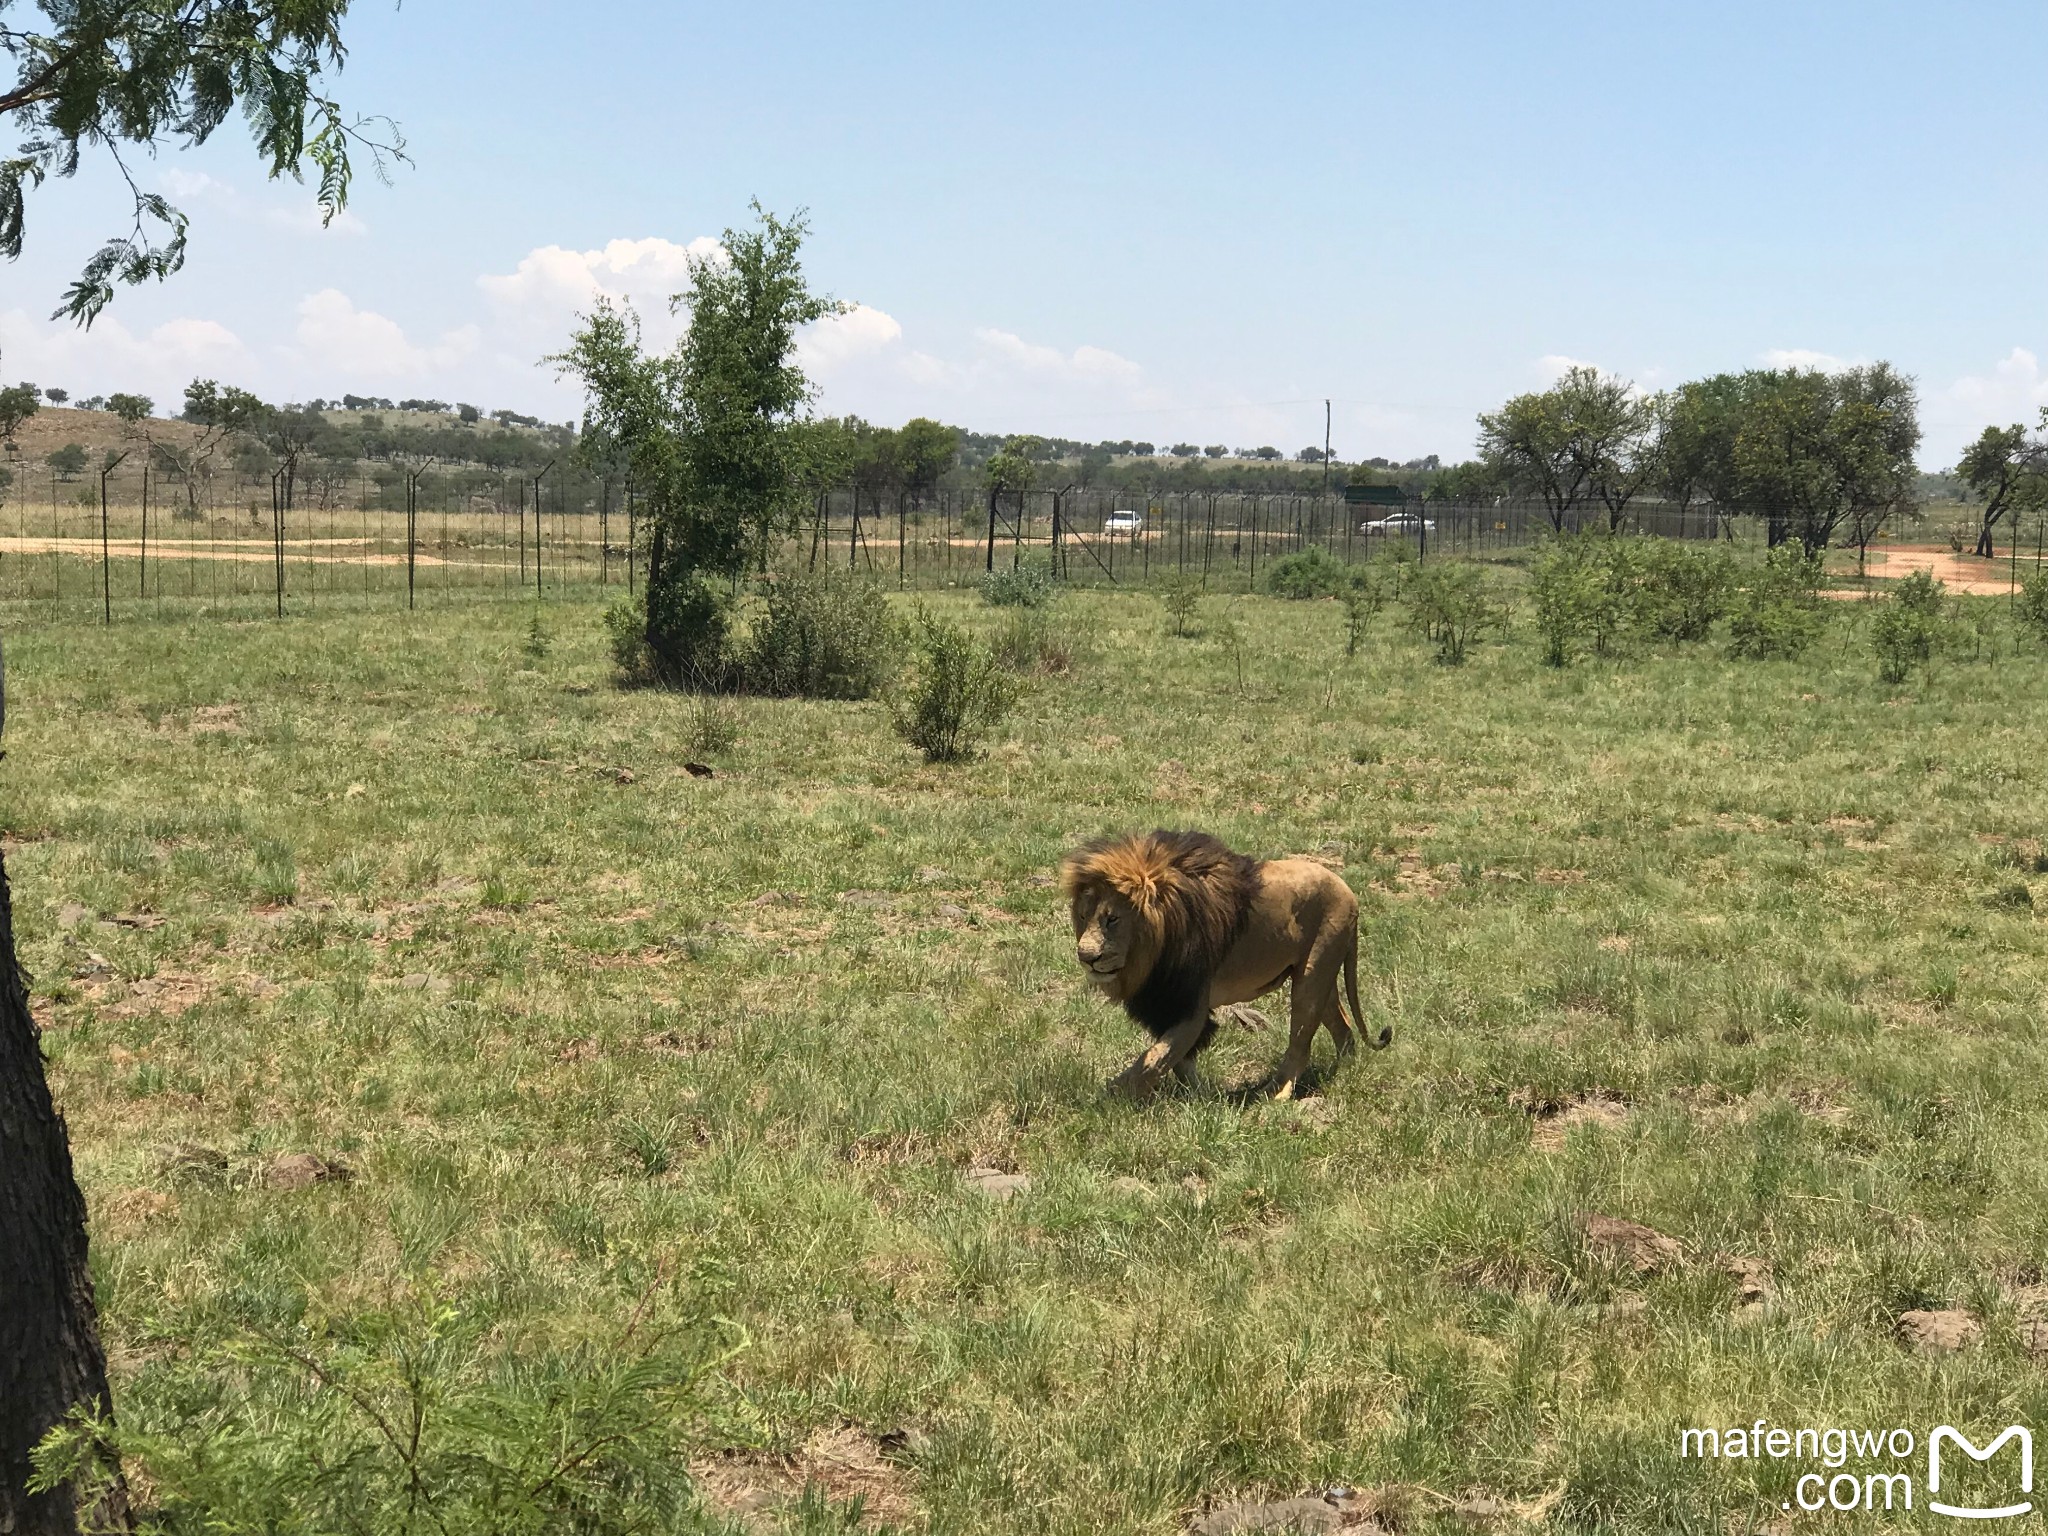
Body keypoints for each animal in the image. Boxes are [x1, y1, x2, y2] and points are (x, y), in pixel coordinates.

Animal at [1056, 835, 1392, 1097]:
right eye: (1083, 916)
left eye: (1112, 919)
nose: (1086, 956)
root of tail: (1349, 893)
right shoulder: (1166, 1006)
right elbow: (1175, 1059)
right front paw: (1200, 1097)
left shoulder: (1189, 1003)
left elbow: (1153, 1059)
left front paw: (1112, 1097)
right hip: (1319, 976)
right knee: (1342, 1026)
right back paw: (1345, 1072)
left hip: (1311, 976)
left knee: (1301, 1043)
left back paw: (1274, 1095)